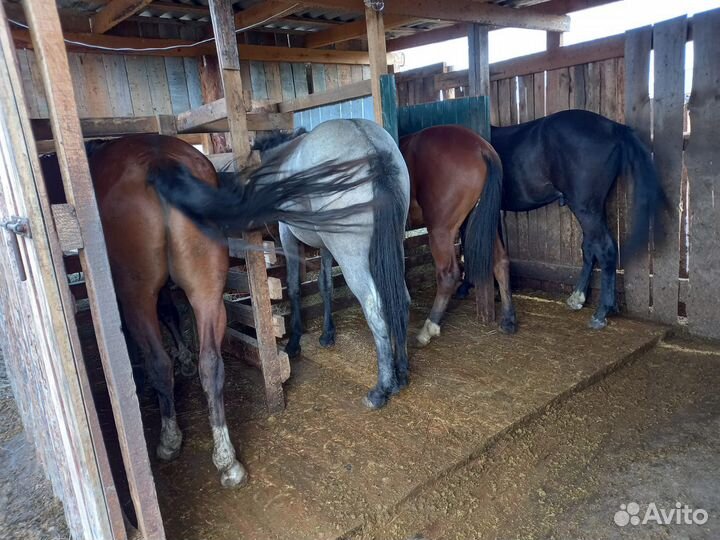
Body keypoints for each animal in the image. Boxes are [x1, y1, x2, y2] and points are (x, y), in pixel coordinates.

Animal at [151, 119, 411, 410]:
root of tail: (370, 146)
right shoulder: (324, 244)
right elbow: (325, 285)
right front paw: (327, 334)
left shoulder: (288, 234)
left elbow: (295, 286)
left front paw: (294, 342)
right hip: (390, 246)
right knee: (400, 300)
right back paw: (401, 373)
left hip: (352, 258)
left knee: (376, 309)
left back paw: (382, 388)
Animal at [400, 125, 517, 347]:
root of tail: (481, 148)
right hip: (480, 219)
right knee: (501, 261)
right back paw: (508, 318)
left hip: (440, 230)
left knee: (448, 275)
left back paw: (429, 328)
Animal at [458, 109, 665, 329]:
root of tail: (614, 128)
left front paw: (466, 286)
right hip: (592, 208)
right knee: (590, 247)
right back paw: (578, 298)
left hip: (584, 207)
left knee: (605, 248)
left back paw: (601, 312)